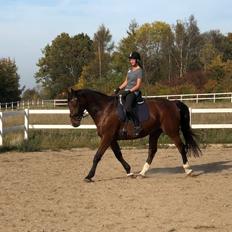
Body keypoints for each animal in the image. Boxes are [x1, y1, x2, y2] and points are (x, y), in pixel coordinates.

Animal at [67, 88, 201, 182]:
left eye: (75, 101)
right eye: (68, 103)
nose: (74, 122)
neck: (104, 110)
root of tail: (173, 103)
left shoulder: (107, 137)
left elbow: (97, 156)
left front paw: (89, 176)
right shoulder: (111, 139)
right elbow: (118, 155)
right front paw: (129, 171)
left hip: (171, 131)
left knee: (181, 147)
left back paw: (188, 170)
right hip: (155, 132)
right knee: (152, 151)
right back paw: (142, 173)